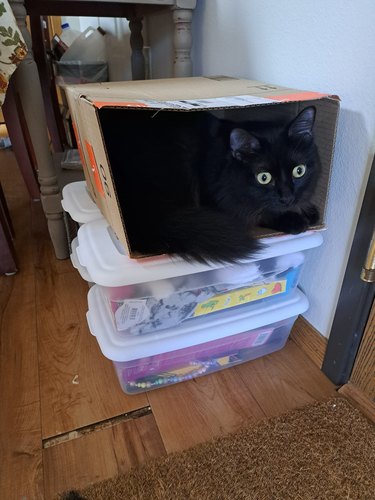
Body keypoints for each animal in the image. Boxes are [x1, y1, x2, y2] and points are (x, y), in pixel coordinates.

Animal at [100, 104, 320, 264]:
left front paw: (309, 211)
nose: (287, 197)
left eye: (299, 171)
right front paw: (295, 220)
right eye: (264, 177)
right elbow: (261, 213)